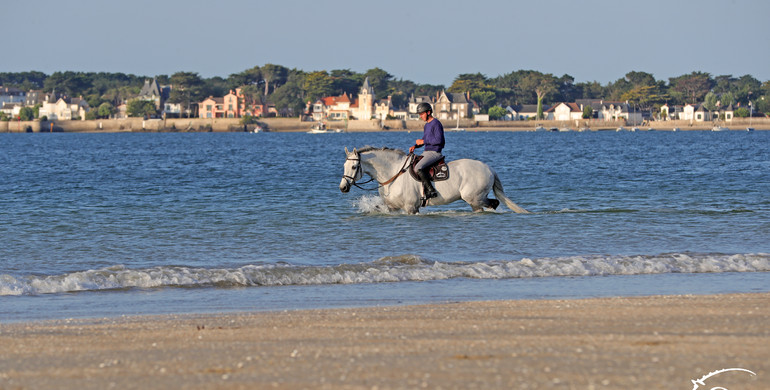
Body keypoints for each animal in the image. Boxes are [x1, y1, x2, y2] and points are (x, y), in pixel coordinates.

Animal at [340, 145, 532, 213]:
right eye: (344, 166)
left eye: (354, 167)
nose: (343, 188)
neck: (393, 173)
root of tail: (489, 168)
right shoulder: (392, 207)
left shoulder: (411, 207)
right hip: (475, 199)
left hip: (474, 198)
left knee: (491, 204)